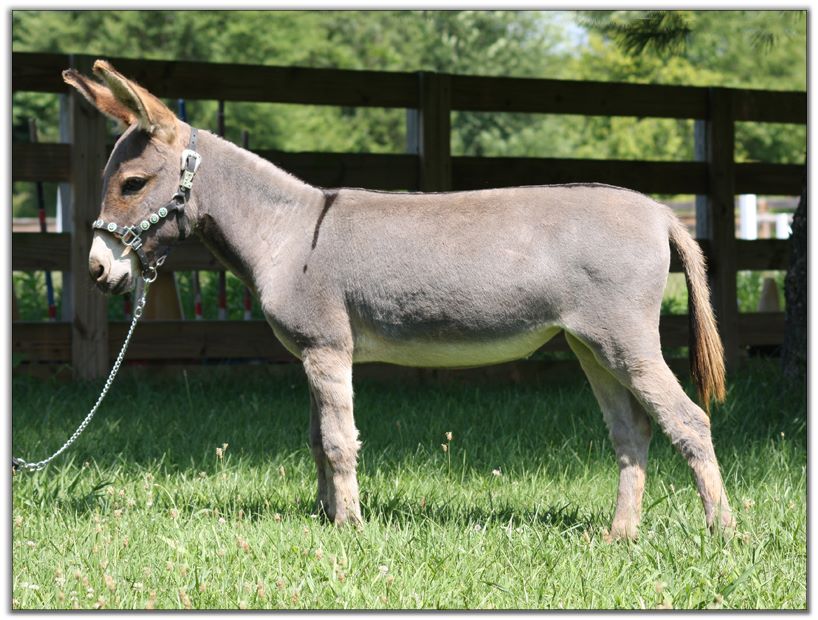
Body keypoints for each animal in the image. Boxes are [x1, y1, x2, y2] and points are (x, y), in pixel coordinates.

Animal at [63, 60, 735, 539]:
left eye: (132, 184)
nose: (97, 269)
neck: (285, 231)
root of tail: (658, 211)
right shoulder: (314, 353)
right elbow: (317, 440)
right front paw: (327, 520)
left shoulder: (327, 349)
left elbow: (339, 441)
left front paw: (353, 528)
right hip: (591, 346)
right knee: (633, 432)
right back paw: (620, 536)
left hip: (625, 341)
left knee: (689, 422)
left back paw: (723, 534)